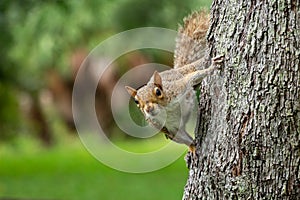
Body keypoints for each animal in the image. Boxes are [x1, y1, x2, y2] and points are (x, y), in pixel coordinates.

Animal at [124, 10, 223, 154]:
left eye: (158, 92)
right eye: (136, 102)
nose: (148, 108)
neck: (165, 109)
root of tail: (174, 70)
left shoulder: (178, 88)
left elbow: (191, 78)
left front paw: (212, 68)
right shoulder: (167, 128)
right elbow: (181, 137)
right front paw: (193, 147)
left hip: (187, 70)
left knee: (196, 68)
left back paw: (207, 60)